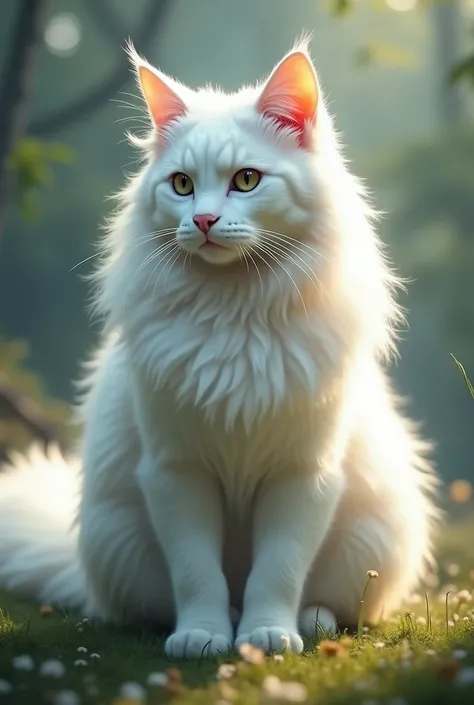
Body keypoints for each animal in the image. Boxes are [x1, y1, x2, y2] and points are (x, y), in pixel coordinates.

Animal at [0, 40, 440, 656]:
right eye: (182, 185)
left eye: (247, 180)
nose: (203, 219)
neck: (236, 315)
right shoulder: (175, 470)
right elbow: (197, 574)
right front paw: (204, 637)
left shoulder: (302, 472)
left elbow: (277, 571)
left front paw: (267, 635)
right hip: (118, 541)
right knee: (162, 602)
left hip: (374, 537)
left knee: (332, 602)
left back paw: (308, 624)